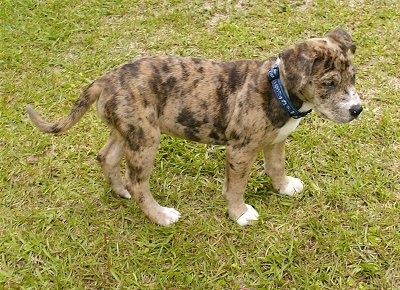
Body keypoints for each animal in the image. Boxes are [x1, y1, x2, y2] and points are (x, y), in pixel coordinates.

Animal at [26, 27, 360, 227]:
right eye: (329, 84)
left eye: (353, 78)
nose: (357, 110)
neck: (278, 87)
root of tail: (105, 79)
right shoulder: (240, 151)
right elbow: (236, 187)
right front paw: (240, 214)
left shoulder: (275, 141)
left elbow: (276, 167)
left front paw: (284, 186)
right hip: (145, 139)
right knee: (138, 182)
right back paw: (161, 216)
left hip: (129, 130)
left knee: (106, 157)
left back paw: (119, 190)